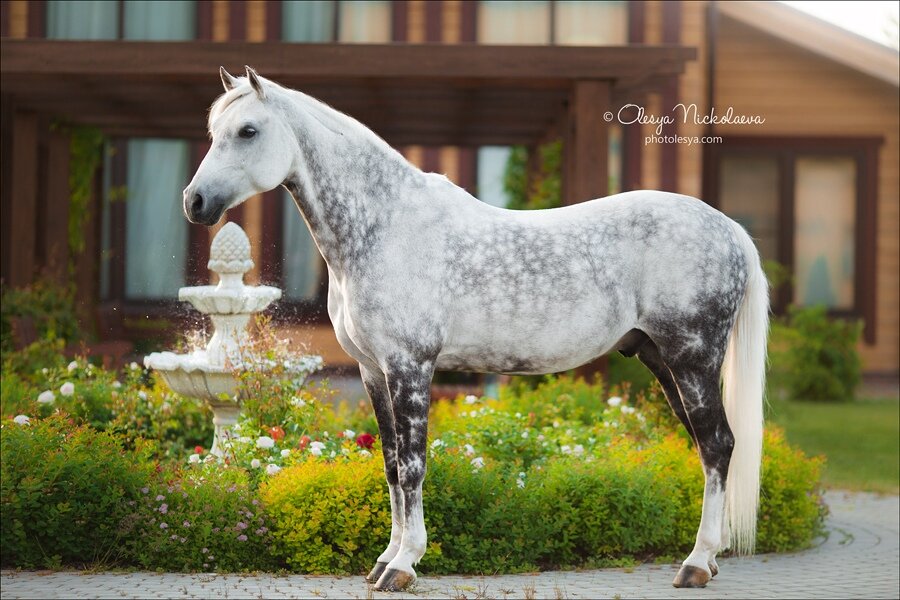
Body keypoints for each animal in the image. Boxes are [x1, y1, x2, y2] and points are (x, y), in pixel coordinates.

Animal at [181, 68, 768, 592]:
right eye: (214, 131)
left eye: (248, 130)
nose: (195, 202)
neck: (384, 228)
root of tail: (729, 228)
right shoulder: (373, 371)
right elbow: (391, 467)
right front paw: (384, 559)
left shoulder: (410, 366)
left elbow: (414, 466)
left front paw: (404, 565)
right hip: (662, 361)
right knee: (707, 447)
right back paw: (709, 560)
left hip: (692, 359)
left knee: (717, 445)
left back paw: (695, 564)